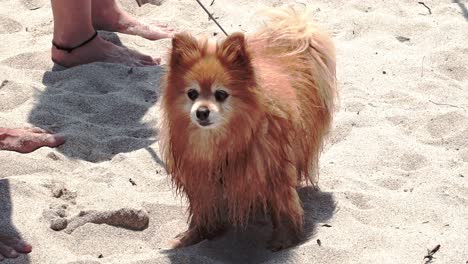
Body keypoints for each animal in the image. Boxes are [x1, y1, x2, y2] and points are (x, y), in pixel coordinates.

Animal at [160, 5, 336, 251]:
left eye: (221, 94)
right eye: (192, 93)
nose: (201, 112)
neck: (222, 140)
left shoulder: (275, 171)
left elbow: (284, 206)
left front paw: (284, 240)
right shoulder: (201, 179)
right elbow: (203, 210)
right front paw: (196, 235)